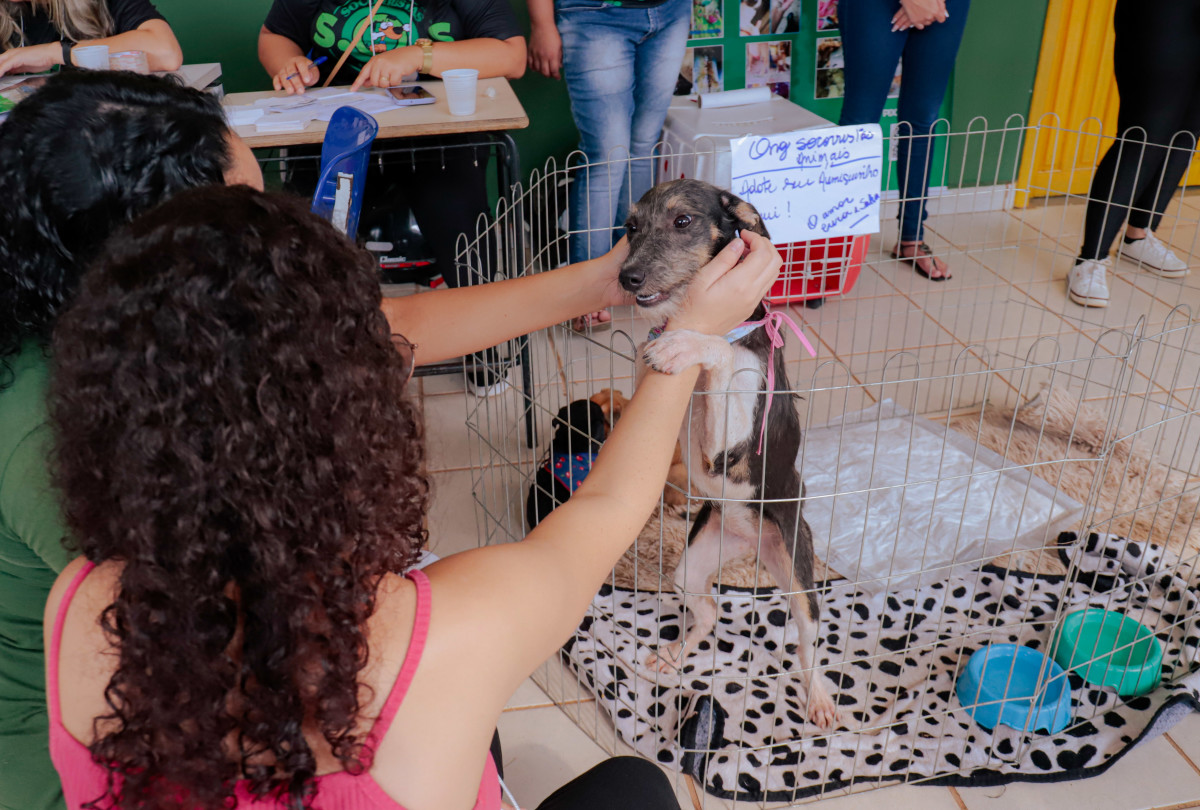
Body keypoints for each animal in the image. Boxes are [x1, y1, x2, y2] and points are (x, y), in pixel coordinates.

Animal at [619, 177, 835, 729]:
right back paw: (674, 655)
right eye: (630, 227)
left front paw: (684, 345)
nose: (626, 278)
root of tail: (752, 547)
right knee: (710, 615)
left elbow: (718, 352)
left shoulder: (726, 451)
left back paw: (819, 697)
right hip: (690, 568)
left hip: (799, 576)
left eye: (682, 221)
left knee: (806, 647)